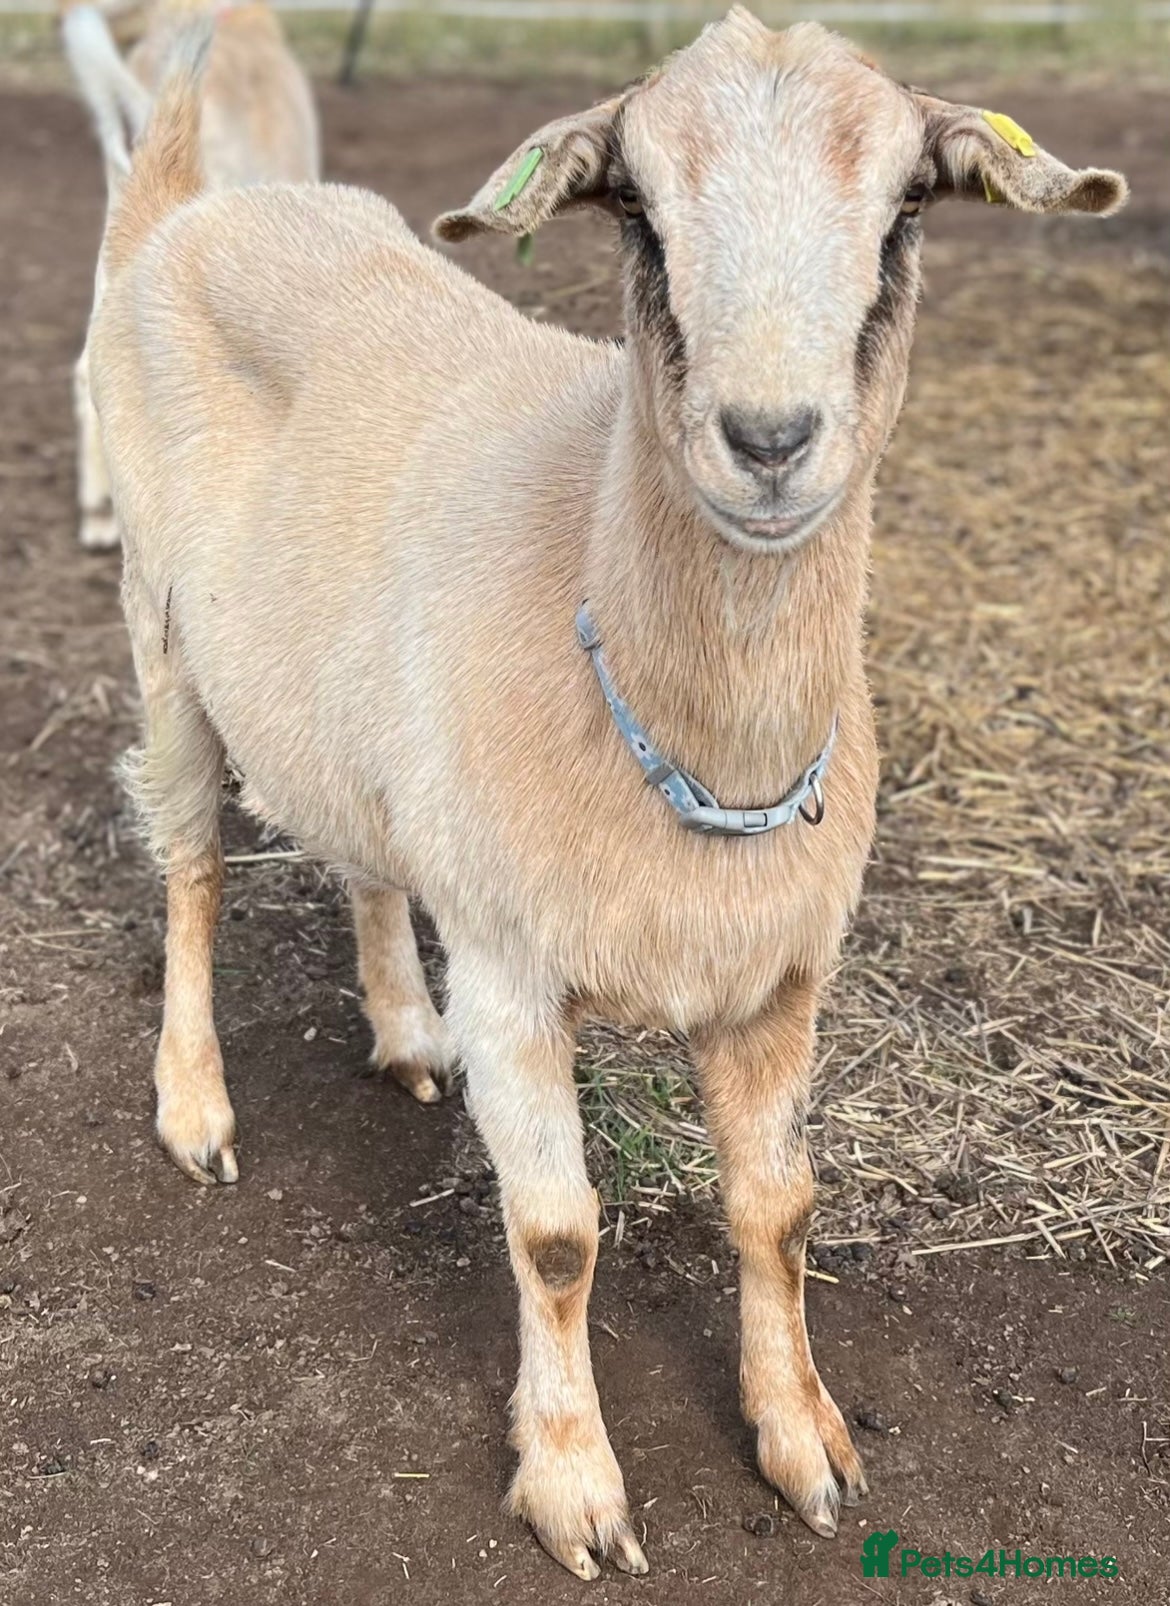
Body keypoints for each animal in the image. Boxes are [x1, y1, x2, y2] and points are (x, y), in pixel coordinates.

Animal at [86, 8, 1127, 1579]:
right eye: (636, 207)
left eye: (904, 209)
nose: (770, 439)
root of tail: (192, 210)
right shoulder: (516, 972)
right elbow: (560, 1235)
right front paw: (574, 1485)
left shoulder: (779, 976)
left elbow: (777, 1207)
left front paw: (803, 1442)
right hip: (165, 637)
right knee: (195, 866)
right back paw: (195, 1106)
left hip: (350, 712)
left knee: (361, 852)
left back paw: (407, 1031)